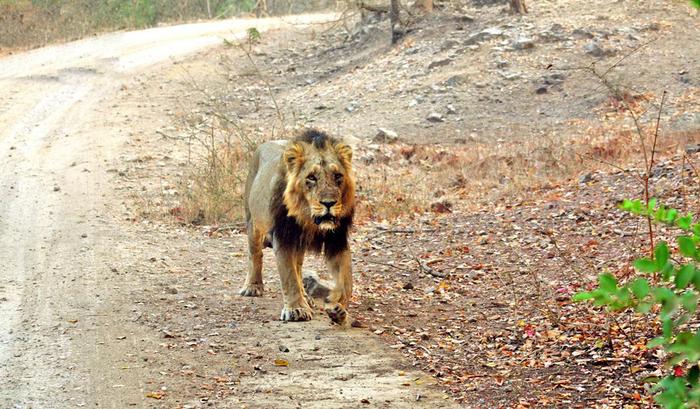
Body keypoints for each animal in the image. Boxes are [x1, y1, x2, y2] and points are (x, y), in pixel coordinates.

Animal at [239, 129, 356, 324]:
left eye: (338, 176)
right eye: (311, 178)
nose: (329, 203)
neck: (308, 218)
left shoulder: (337, 239)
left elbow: (346, 279)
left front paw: (338, 308)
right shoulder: (283, 236)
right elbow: (289, 276)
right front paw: (296, 310)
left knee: (299, 266)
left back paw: (307, 297)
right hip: (253, 221)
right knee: (255, 254)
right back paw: (252, 287)